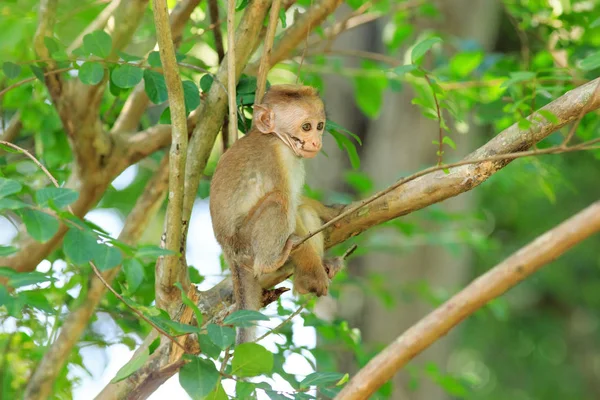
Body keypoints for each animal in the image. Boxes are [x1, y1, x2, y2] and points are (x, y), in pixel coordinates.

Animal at [210, 83, 342, 342]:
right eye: (306, 127)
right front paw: (314, 276)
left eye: (320, 126)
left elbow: (300, 203)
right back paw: (273, 264)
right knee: (279, 202)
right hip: (245, 245)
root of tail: (228, 253)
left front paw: (329, 212)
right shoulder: (278, 157)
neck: (274, 137)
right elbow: (288, 204)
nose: (316, 142)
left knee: (301, 210)